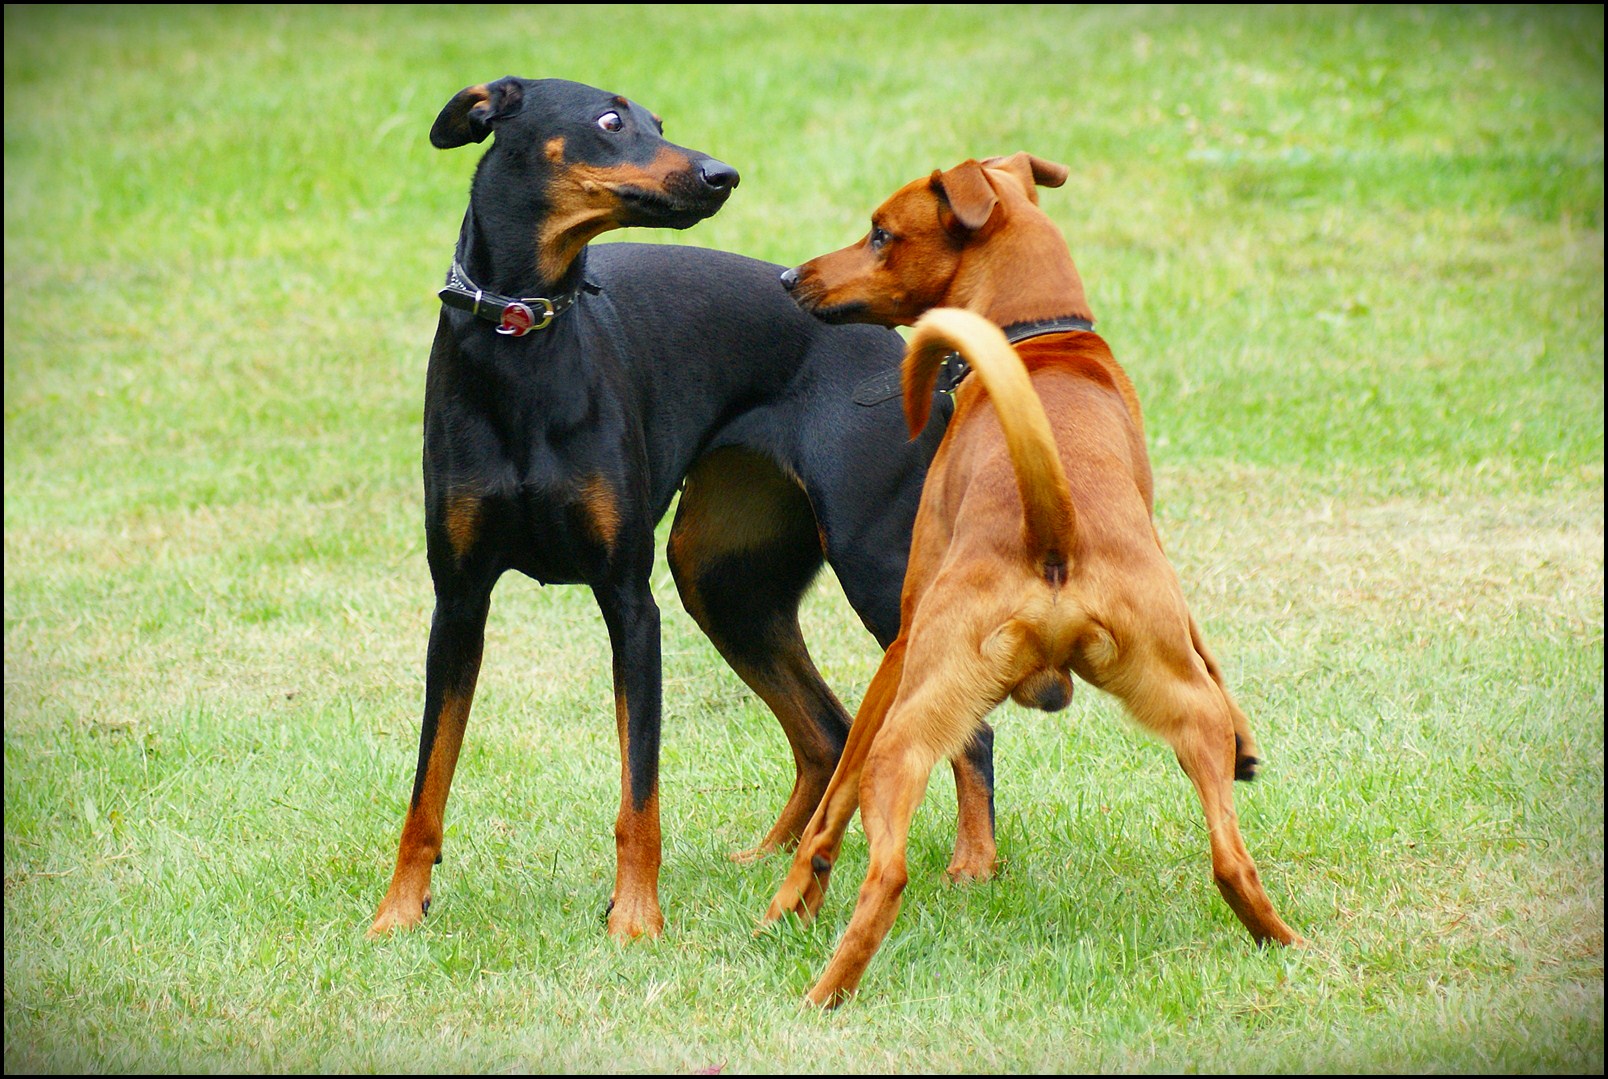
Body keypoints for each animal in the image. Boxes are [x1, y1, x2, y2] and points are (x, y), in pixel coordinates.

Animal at [369, 75, 996, 939]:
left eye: (657, 120)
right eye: (609, 120)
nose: (721, 174)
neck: (524, 338)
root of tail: (912, 356)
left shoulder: (631, 603)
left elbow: (640, 790)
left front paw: (635, 918)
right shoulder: (458, 603)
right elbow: (427, 784)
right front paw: (398, 911)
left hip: (877, 568)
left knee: (971, 729)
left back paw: (974, 861)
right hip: (723, 582)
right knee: (826, 731)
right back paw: (770, 860)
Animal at [758, 149, 1299, 1003]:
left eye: (881, 233)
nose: (788, 278)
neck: (1039, 339)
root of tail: (1052, 531)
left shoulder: (902, 636)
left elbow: (830, 801)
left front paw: (789, 901)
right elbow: (1211, 648)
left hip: (909, 726)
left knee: (886, 867)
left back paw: (825, 992)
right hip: (1181, 713)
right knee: (1231, 860)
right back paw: (1285, 940)